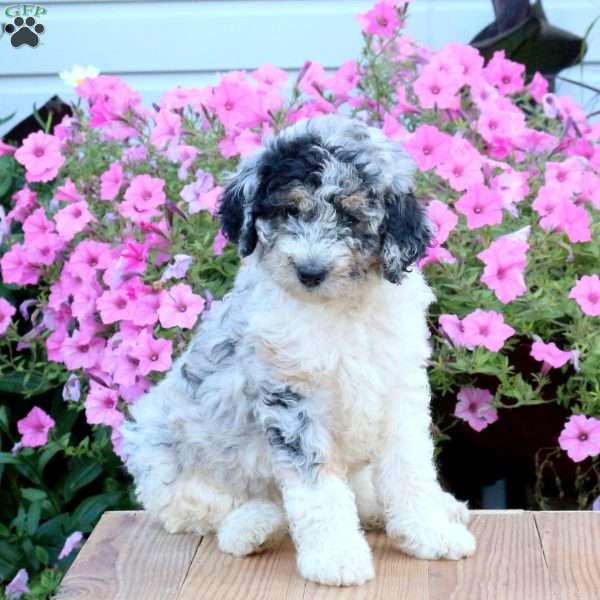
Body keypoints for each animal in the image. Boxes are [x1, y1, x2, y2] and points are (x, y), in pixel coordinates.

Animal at [122, 115, 476, 584]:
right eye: (289, 210)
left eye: (350, 216)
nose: (310, 272)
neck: (339, 309)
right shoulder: (292, 398)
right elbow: (318, 489)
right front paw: (336, 557)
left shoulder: (399, 389)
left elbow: (411, 469)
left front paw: (430, 533)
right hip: (162, 455)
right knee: (199, 512)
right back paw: (256, 525)